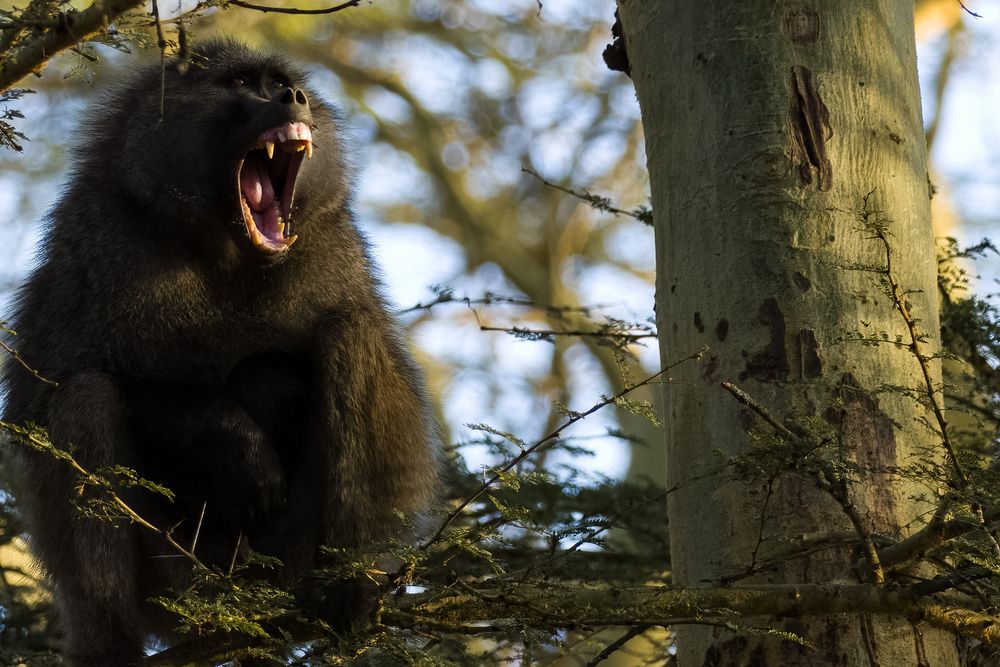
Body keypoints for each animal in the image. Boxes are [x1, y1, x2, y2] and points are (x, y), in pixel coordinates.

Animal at [0, 39, 439, 664]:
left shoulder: (336, 248)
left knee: (349, 336)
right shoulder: (89, 241)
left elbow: (359, 344)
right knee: (84, 400)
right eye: (239, 83)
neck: (223, 246)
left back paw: (343, 588)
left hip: (290, 555)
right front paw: (234, 443)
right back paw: (109, 641)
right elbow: (50, 393)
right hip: (177, 581)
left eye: (279, 82)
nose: (294, 97)